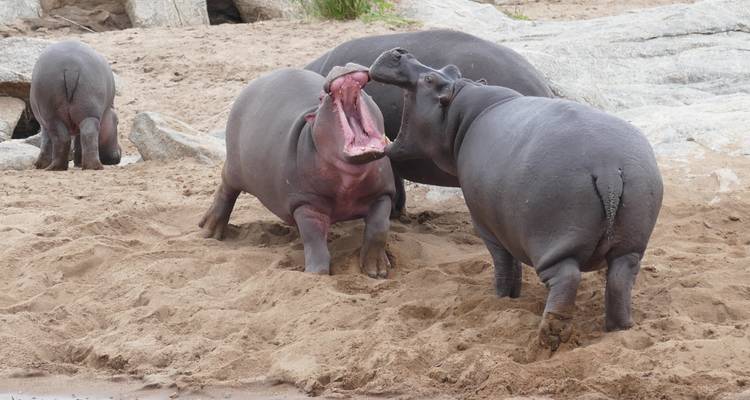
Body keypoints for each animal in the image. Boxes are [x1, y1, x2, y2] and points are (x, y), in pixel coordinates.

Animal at [31, 40, 121, 171]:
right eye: (118, 122)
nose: (118, 156)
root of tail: (71, 67)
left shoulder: (44, 124)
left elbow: (46, 142)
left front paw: (40, 165)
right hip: (86, 114)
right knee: (86, 135)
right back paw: (91, 166)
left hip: (55, 116)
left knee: (64, 138)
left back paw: (56, 167)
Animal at [199, 65, 395, 278]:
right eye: (320, 98)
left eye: (367, 95)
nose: (341, 66)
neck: (351, 177)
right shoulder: (306, 204)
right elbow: (314, 242)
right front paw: (316, 274)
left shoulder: (383, 193)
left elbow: (378, 228)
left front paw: (377, 270)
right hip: (234, 167)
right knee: (226, 190)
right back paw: (209, 231)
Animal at [370, 49, 663, 349]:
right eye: (451, 68)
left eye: (429, 79)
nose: (400, 52)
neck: (461, 113)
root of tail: (607, 168)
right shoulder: (505, 225)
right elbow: (514, 265)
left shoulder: (487, 226)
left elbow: (504, 264)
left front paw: (501, 298)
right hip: (630, 241)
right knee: (619, 279)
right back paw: (619, 329)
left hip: (554, 239)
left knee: (566, 278)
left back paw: (551, 334)